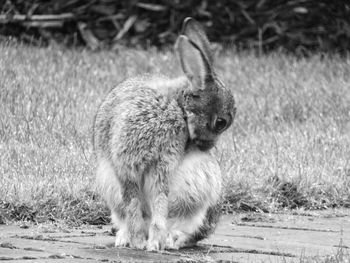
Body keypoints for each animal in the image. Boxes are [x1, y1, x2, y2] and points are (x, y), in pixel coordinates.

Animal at [93, 17, 235, 253]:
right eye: (221, 122)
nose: (208, 147)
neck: (177, 106)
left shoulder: (162, 165)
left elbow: (159, 203)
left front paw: (151, 243)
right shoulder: (127, 166)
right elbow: (134, 204)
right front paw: (139, 242)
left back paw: (169, 240)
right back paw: (127, 239)